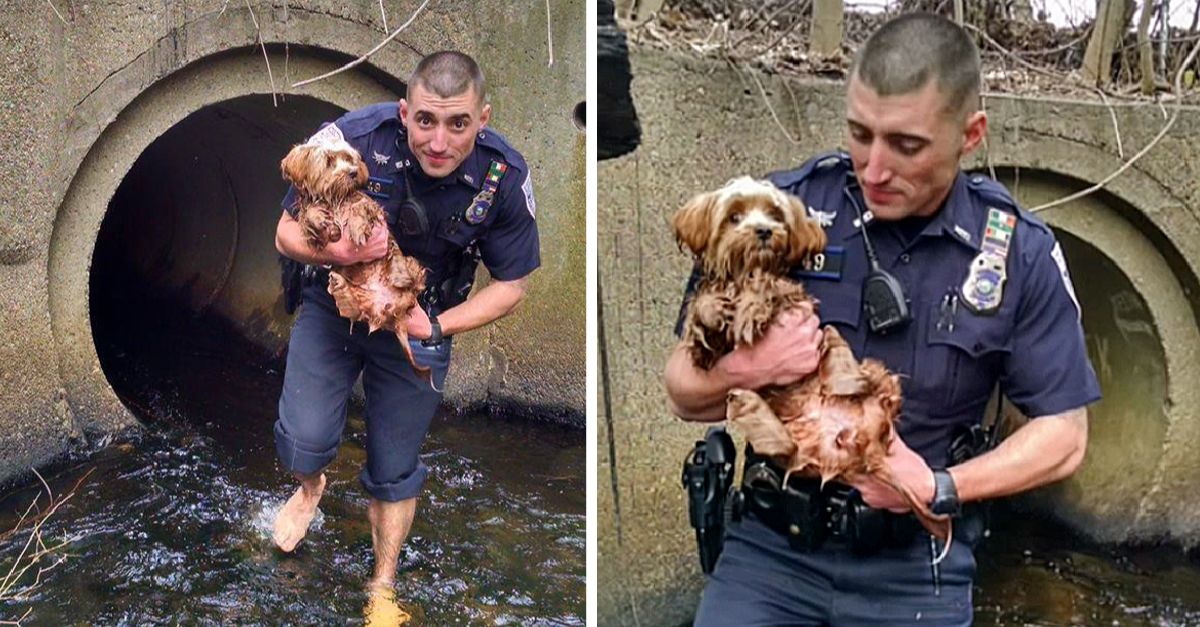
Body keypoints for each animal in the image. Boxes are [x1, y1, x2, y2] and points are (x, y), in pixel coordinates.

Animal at [280, 133, 432, 381]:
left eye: (350, 158)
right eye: (329, 161)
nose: (353, 172)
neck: (336, 197)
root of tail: (395, 313)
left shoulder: (371, 208)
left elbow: (361, 207)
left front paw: (357, 227)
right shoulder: (314, 229)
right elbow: (309, 217)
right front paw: (318, 218)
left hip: (409, 266)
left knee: (414, 279)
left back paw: (400, 275)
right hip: (360, 299)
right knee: (352, 308)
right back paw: (340, 286)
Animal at [676, 175, 945, 557]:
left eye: (775, 213)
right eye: (734, 216)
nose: (763, 231)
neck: (744, 270)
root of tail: (856, 442)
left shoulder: (794, 298)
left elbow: (768, 285)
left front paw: (751, 304)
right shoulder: (710, 351)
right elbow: (702, 317)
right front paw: (713, 309)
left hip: (865, 367)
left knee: (870, 379)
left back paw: (846, 380)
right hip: (795, 446)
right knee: (784, 446)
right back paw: (750, 404)